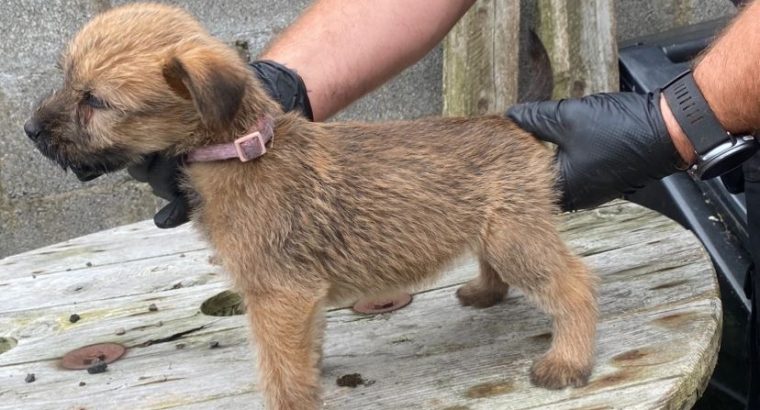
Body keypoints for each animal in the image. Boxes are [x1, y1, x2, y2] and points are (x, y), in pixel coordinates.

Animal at [26, 4, 600, 410]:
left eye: (95, 102)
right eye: (67, 81)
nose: (30, 131)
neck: (240, 147)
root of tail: (509, 122)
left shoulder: (276, 294)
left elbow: (279, 370)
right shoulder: (299, 295)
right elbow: (300, 350)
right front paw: (313, 367)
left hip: (516, 236)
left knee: (574, 284)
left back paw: (567, 361)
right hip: (496, 232)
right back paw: (485, 291)